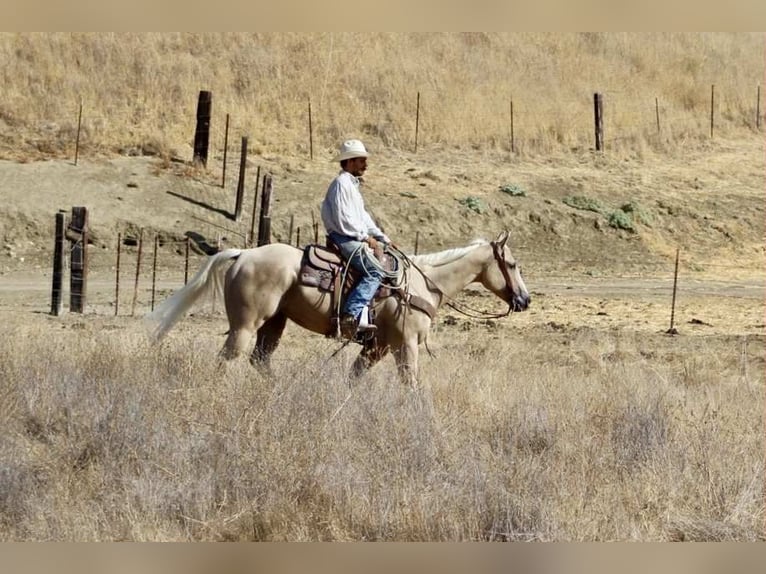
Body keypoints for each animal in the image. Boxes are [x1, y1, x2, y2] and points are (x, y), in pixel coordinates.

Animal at [145, 231, 530, 386]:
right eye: (512, 264)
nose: (525, 300)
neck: (423, 284)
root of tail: (243, 254)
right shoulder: (405, 344)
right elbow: (412, 384)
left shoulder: (378, 346)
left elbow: (354, 378)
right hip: (246, 325)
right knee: (228, 359)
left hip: (275, 323)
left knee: (260, 360)